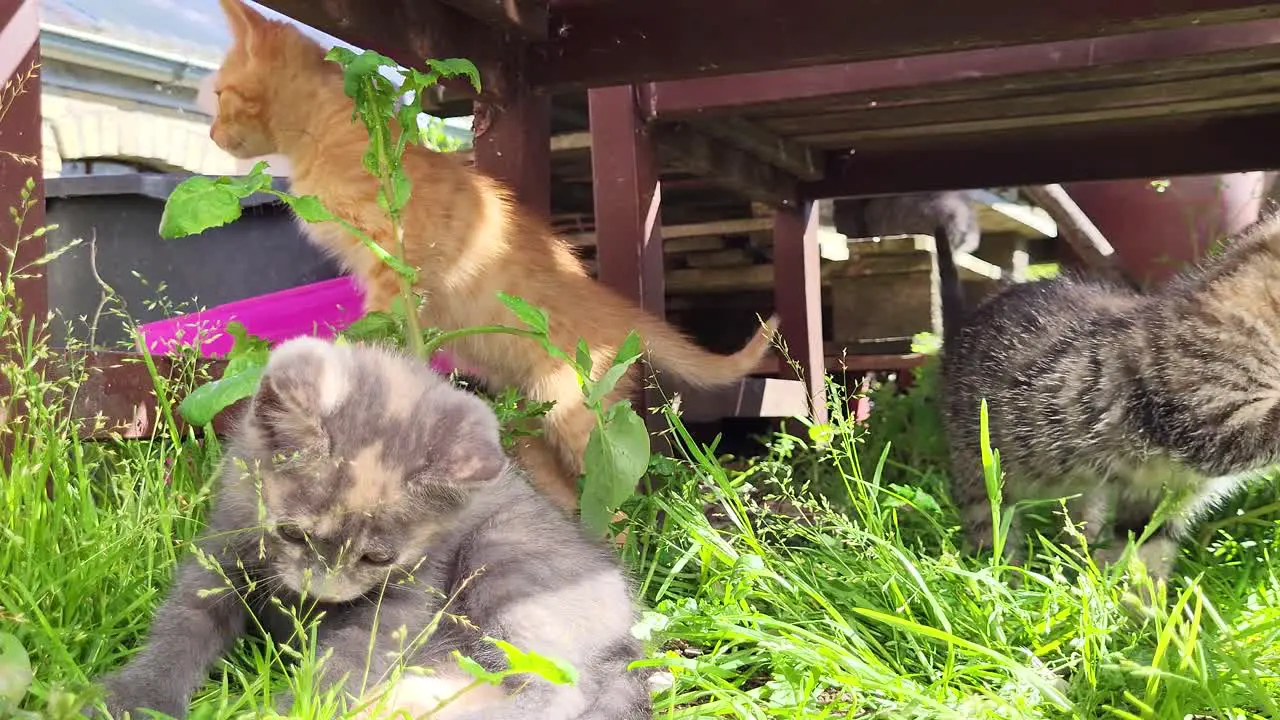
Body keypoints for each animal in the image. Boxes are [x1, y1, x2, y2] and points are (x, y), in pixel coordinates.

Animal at [92, 335, 650, 717]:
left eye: (377, 558)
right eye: (291, 533)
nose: (318, 591)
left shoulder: (403, 601)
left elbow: (343, 663)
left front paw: (281, 711)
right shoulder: (221, 551)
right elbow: (181, 625)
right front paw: (134, 696)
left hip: (506, 562)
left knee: (557, 688)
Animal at [207, 0, 778, 507]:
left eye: (217, 94)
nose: (210, 133)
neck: (327, 131)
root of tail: (620, 311)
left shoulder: (396, 260)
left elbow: (380, 330)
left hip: (575, 408)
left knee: (617, 497)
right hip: (528, 419)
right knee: (568, 495)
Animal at [931, 212, 1280, 576]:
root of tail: (961, 329)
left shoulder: (1158, 492)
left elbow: (1145, 552)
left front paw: (1133, 593)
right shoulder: (1201, 422)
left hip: (1084, 489)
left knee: (1080, 525)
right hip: (980, 467)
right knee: (990, 529)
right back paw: (1006, 577)